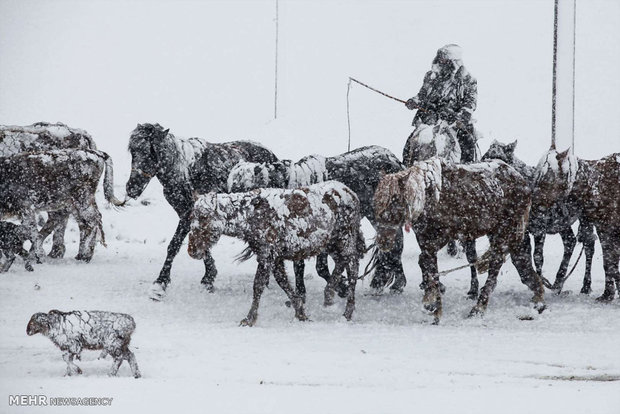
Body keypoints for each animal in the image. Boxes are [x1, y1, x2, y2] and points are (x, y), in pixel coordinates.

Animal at [124, 121, 278, 300]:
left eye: (150, 151)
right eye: (133, 152)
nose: (131, 188)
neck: (186, 172)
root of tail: (273, 157)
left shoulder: (188, 216)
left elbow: (174, 246)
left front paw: (160, 284)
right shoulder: (189, 216)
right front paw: (209, 276)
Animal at [188, 183, 364, 326]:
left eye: (204, 217)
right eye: (191, 216)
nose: (192, 250)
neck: (246, 221)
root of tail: (353, 195)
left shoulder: (267, 255)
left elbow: (258, 286)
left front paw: (249, 319)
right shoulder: (276, 257)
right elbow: (284, 283)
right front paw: (301, 313)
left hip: (345, 239)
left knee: (353, 267)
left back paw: (346, 312)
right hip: (332, 244)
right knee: (342, 263)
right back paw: (330, 294)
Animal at [225, 146, 404, 294]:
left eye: (243, 189)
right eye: (231, 188)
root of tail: (395, 161)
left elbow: (320, 267)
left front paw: (341, 287)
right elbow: (300, 265)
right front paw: (301, 291)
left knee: (395, 246)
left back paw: (394, 284)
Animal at [372, 158, 544, 324]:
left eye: (396, 201)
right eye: (377, 203)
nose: (383, 242)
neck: (429, 197)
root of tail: (522, 181)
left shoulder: (440, 238)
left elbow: (430, 268)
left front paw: (436, 309)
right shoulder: (424, 240)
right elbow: (425, 264)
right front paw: (430, 302)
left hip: (504, 233)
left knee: (495, 269)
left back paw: (478, 309)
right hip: (505, 235)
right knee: (521, 261)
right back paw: (538, 298)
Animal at [482, 142, 600, 294]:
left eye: (501, 159)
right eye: (484, 156)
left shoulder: (540, 228)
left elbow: (537, 257)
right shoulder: (523, 232)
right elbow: (522, 256)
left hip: (585, 218)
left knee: (588, 246)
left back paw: (585, 285)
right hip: (562, 222)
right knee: (570, 241)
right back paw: (558, 282)